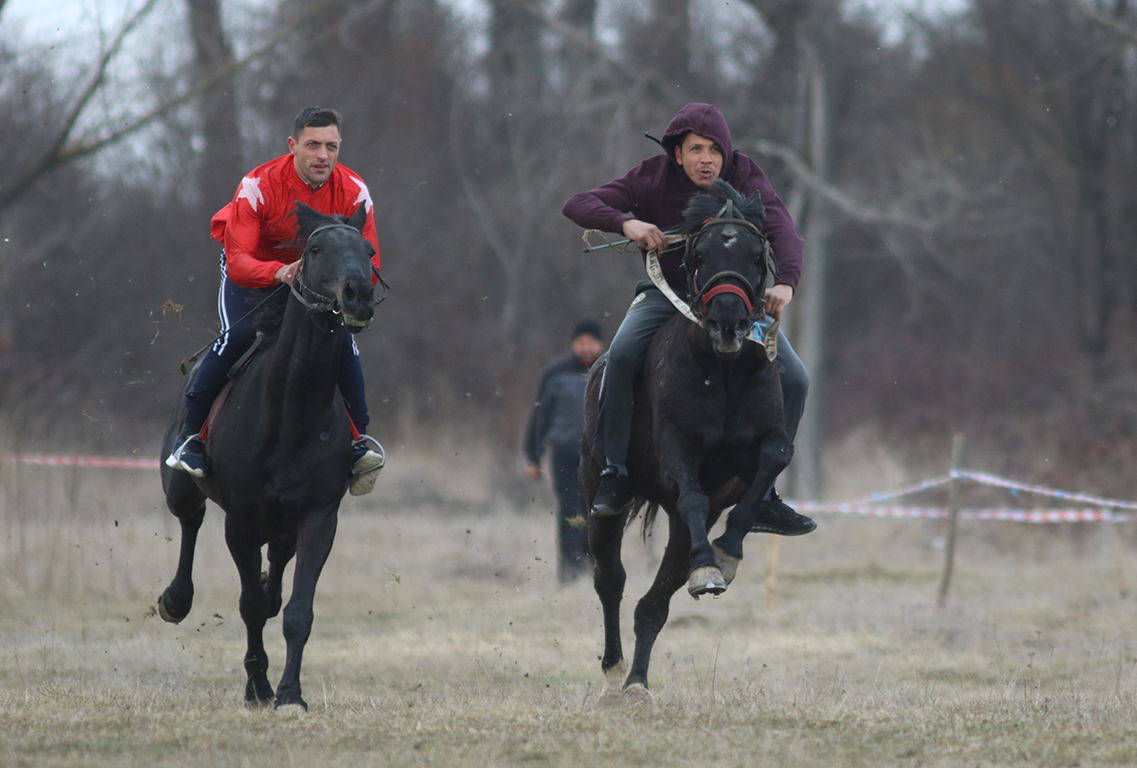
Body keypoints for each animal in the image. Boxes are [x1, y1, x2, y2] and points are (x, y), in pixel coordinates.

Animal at [158, 202, 377, 709]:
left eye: (368, 249)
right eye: (314, 248)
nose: (358, 295)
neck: (291, 411)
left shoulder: (319, 515)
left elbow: (297, 611)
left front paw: (290, 692)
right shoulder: (241, 518)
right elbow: (250, 606)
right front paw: (258, 686)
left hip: (284, 521)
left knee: (277, 560)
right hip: (181, 487)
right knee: (190, 520)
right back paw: (176, 599)